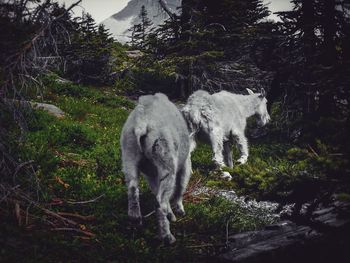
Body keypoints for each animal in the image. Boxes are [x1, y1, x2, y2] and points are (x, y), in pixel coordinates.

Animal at [119, 93, 191, 245]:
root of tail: (142, 123)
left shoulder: (151, 175)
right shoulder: (186, 164)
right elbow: (181, 187)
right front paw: (178, 211)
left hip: (129, 153)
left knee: (133, 187)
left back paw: (135, 218)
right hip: (166, 160)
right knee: (160, 203)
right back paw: (167, 236)